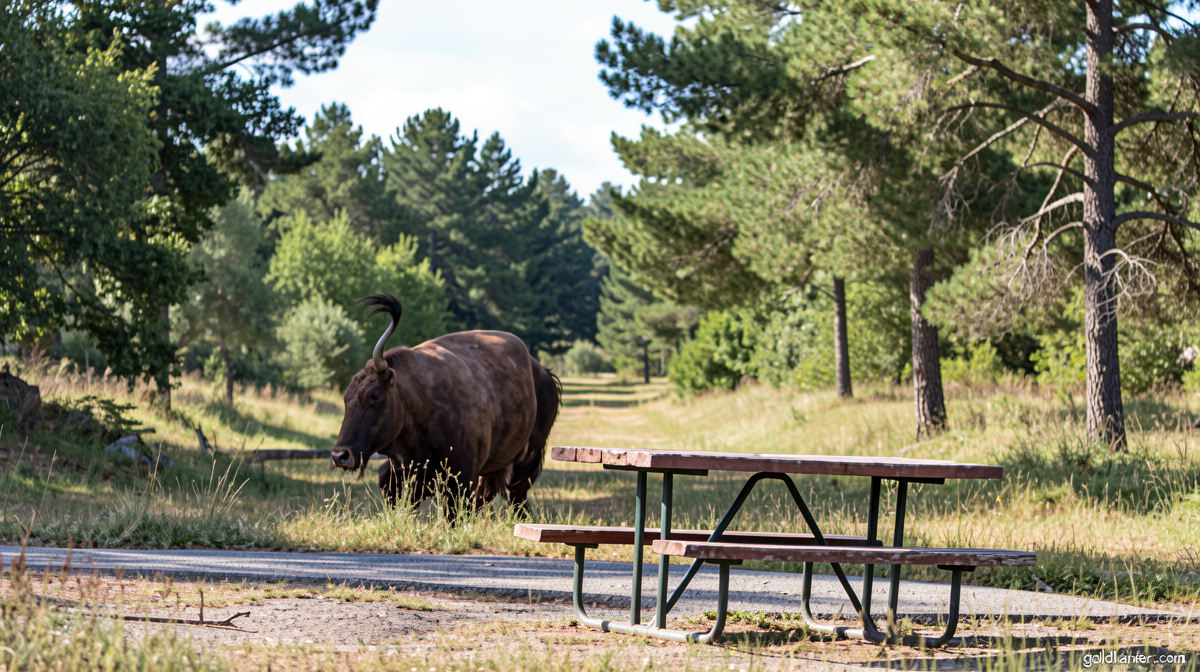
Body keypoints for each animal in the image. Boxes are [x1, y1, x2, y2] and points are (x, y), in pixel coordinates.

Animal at [330, 293, 560, 516]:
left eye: (375, 395)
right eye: (346, 396)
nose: (340, 455)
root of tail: (544, 373)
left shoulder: (462, 478)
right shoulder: (403, 473)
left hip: (525, 462)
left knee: (516, 498)